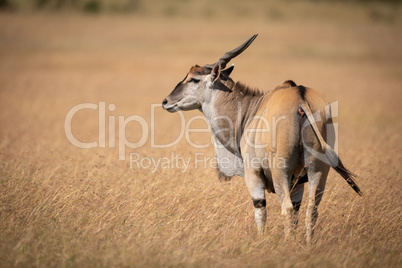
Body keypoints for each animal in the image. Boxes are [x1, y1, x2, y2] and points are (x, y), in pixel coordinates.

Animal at [162, 34, 362, 244]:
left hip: (281, 171)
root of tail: (301, 100)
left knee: (287, 208)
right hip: (318, 171)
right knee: (311, 210)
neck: (249, 110)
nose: (166, 101)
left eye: (193, 79)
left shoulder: (253, 174)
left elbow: (261, 210)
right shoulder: (299, 182)